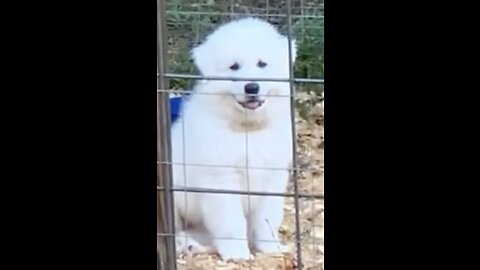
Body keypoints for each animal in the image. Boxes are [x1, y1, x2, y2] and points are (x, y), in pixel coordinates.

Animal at [171, 17, 294, 262]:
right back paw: (187, 245)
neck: (246, 130)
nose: (252, 87)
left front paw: (271, 249)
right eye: (234, 67)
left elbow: (267, 218)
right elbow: (231, 223)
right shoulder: (221, 181)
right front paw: (238, 254)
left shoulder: (273, 177)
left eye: (262, 64)